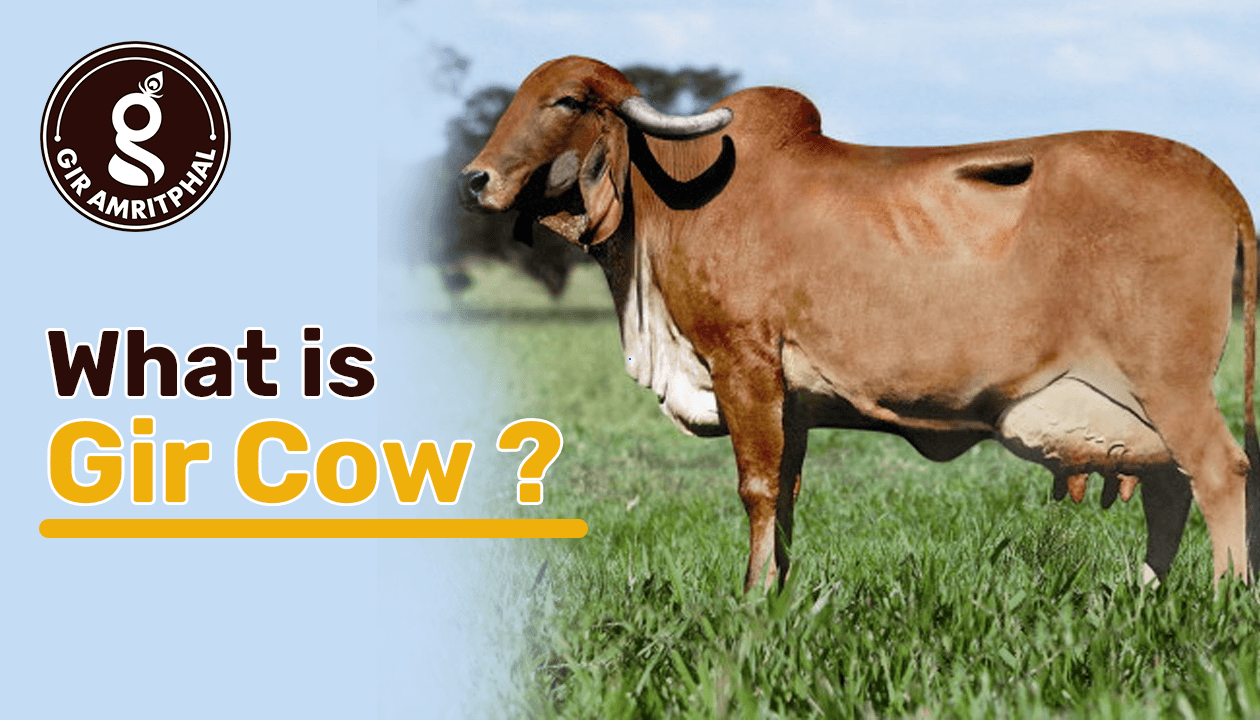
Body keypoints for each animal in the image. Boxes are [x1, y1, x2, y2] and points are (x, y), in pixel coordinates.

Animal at [458, 55, 1259, 591]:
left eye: (565, 100)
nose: (474, 180)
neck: (672, 197)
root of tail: (1216, 180)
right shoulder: (791, 402)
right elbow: (784, 492)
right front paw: (777, 590)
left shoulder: (744, 366)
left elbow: (756, 487)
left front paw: (750, 597)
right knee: (1169, 487)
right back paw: (1144, 593)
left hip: (1170, 383)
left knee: (1219, 472)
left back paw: (1224, 595)